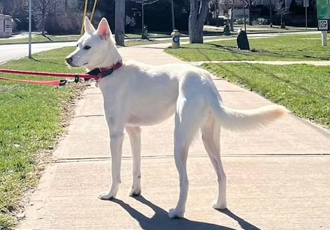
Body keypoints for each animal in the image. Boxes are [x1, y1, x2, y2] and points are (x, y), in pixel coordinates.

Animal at [66, 17, 286, 218]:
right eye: (77, 45)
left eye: (87, 47)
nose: (68, 59)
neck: (113, 70)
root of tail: (206, 82)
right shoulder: (134, 131)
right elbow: (136, 166)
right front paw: (136, 191)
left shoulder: (116, 135)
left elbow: (115, 170)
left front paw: (111, 194)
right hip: (210, 140)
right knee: (222, 175)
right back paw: (220, 205)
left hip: (179, 140)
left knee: (185, 181)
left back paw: (178, 212)